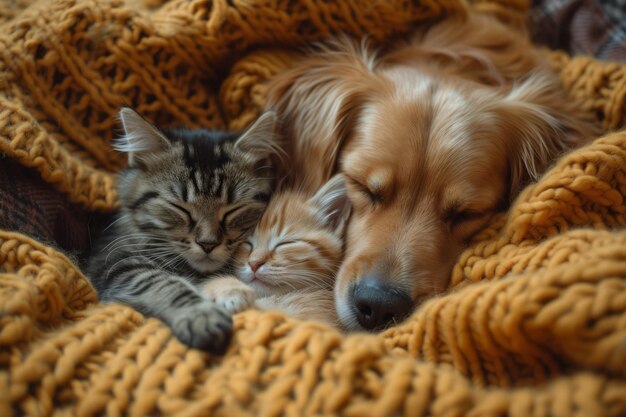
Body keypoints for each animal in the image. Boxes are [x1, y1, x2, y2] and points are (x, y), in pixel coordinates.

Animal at [86, 108, 278, 354]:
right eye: (180, 209)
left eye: (232, 210)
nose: (208, 244)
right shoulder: (116, 264)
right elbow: (165, 284)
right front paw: (202, 317)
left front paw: (231, 290)